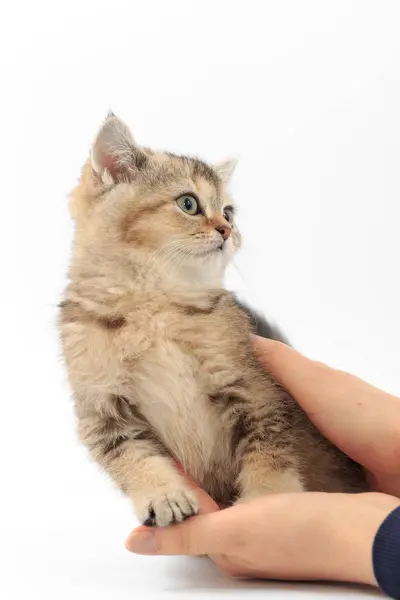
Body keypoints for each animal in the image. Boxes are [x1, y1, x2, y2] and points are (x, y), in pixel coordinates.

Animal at [57, 115, 368, 528]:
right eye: (188, 203)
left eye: (229, 212)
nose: (227, 230)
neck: (154, 308)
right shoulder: (104, 411)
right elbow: (135, 459)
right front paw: (164, 495)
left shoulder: (257, 390)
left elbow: (269, 450)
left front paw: (267, 501)